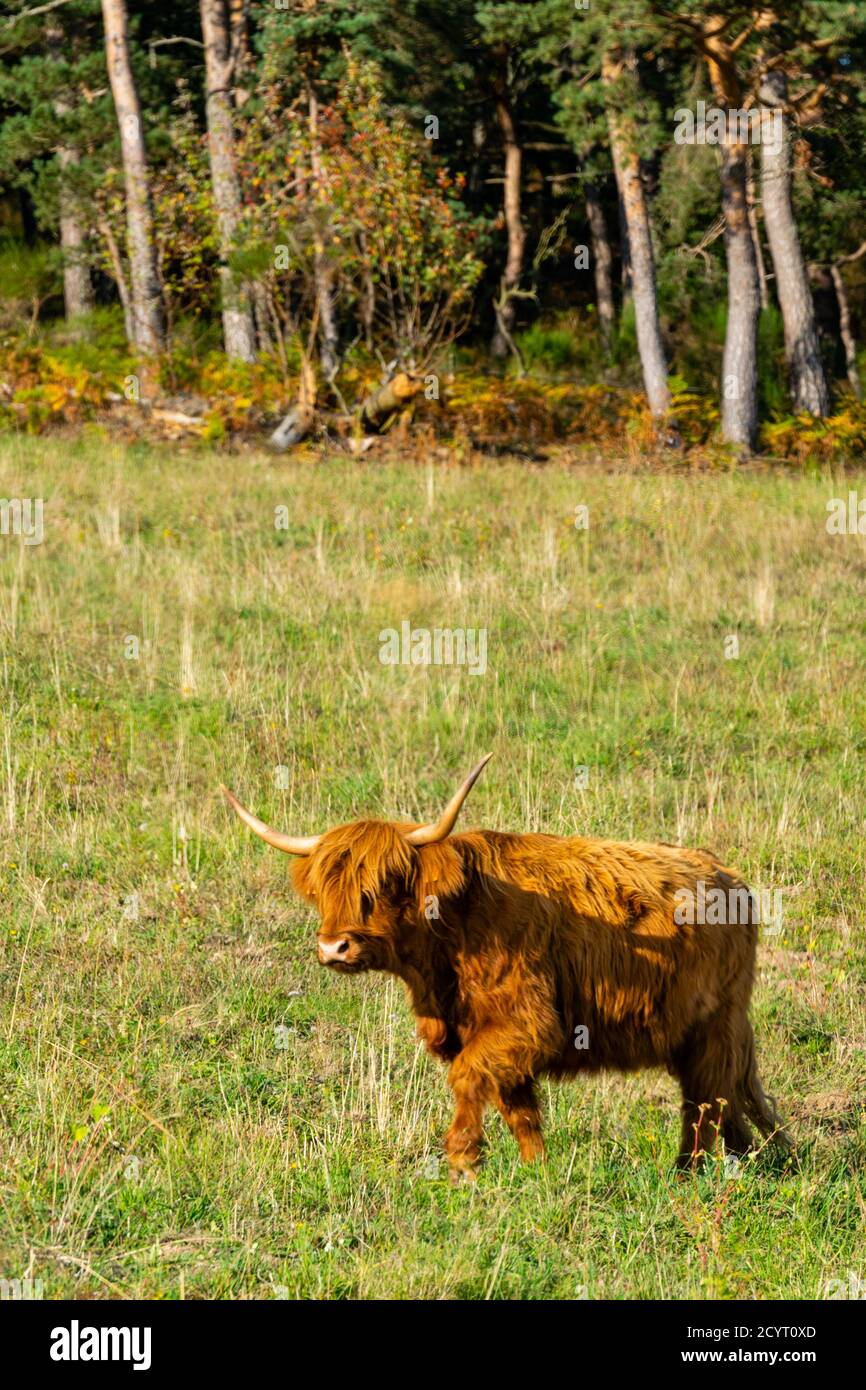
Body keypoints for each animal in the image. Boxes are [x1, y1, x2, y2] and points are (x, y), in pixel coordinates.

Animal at [222, 756, 787, 1181]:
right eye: (326, 890)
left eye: (386, 885)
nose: (333, 947)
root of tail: (728, 874)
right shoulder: (490, 1035)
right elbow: (518, 1106)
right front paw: (537, 1171)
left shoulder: (527, 1021)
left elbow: (471, 1077)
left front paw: (463, 1162)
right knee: (722, 1099)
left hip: (715, 1025)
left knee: (705, 1102)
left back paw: (688, 1173)